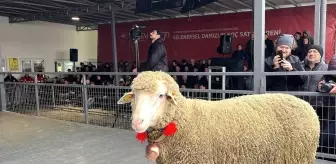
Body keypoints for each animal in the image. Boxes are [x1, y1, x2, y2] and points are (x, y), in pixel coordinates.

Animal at [117, 71, 320, 164]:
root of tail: (308, 107)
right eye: (133, 96)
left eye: (160, 95)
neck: (183, 120)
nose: (137, 122)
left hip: (298, 158)